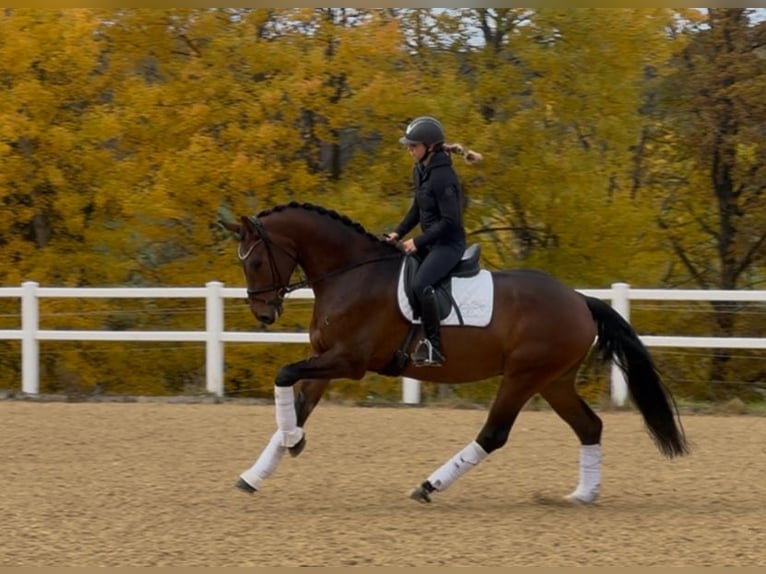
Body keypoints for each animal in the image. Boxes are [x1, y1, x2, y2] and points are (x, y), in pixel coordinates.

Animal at [221, 201, 688, 505]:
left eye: (256, 263)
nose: (264, 313)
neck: (350, 274)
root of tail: (579, 299)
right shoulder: (326, 358)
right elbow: (298, 404)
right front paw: (258, 470)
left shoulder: (349, 362)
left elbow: (283, 374)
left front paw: (293, 442)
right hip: (553, 381)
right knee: (589, 427)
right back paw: (583, 495)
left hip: (523, 377)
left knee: (494, 434)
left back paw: (429, 486)